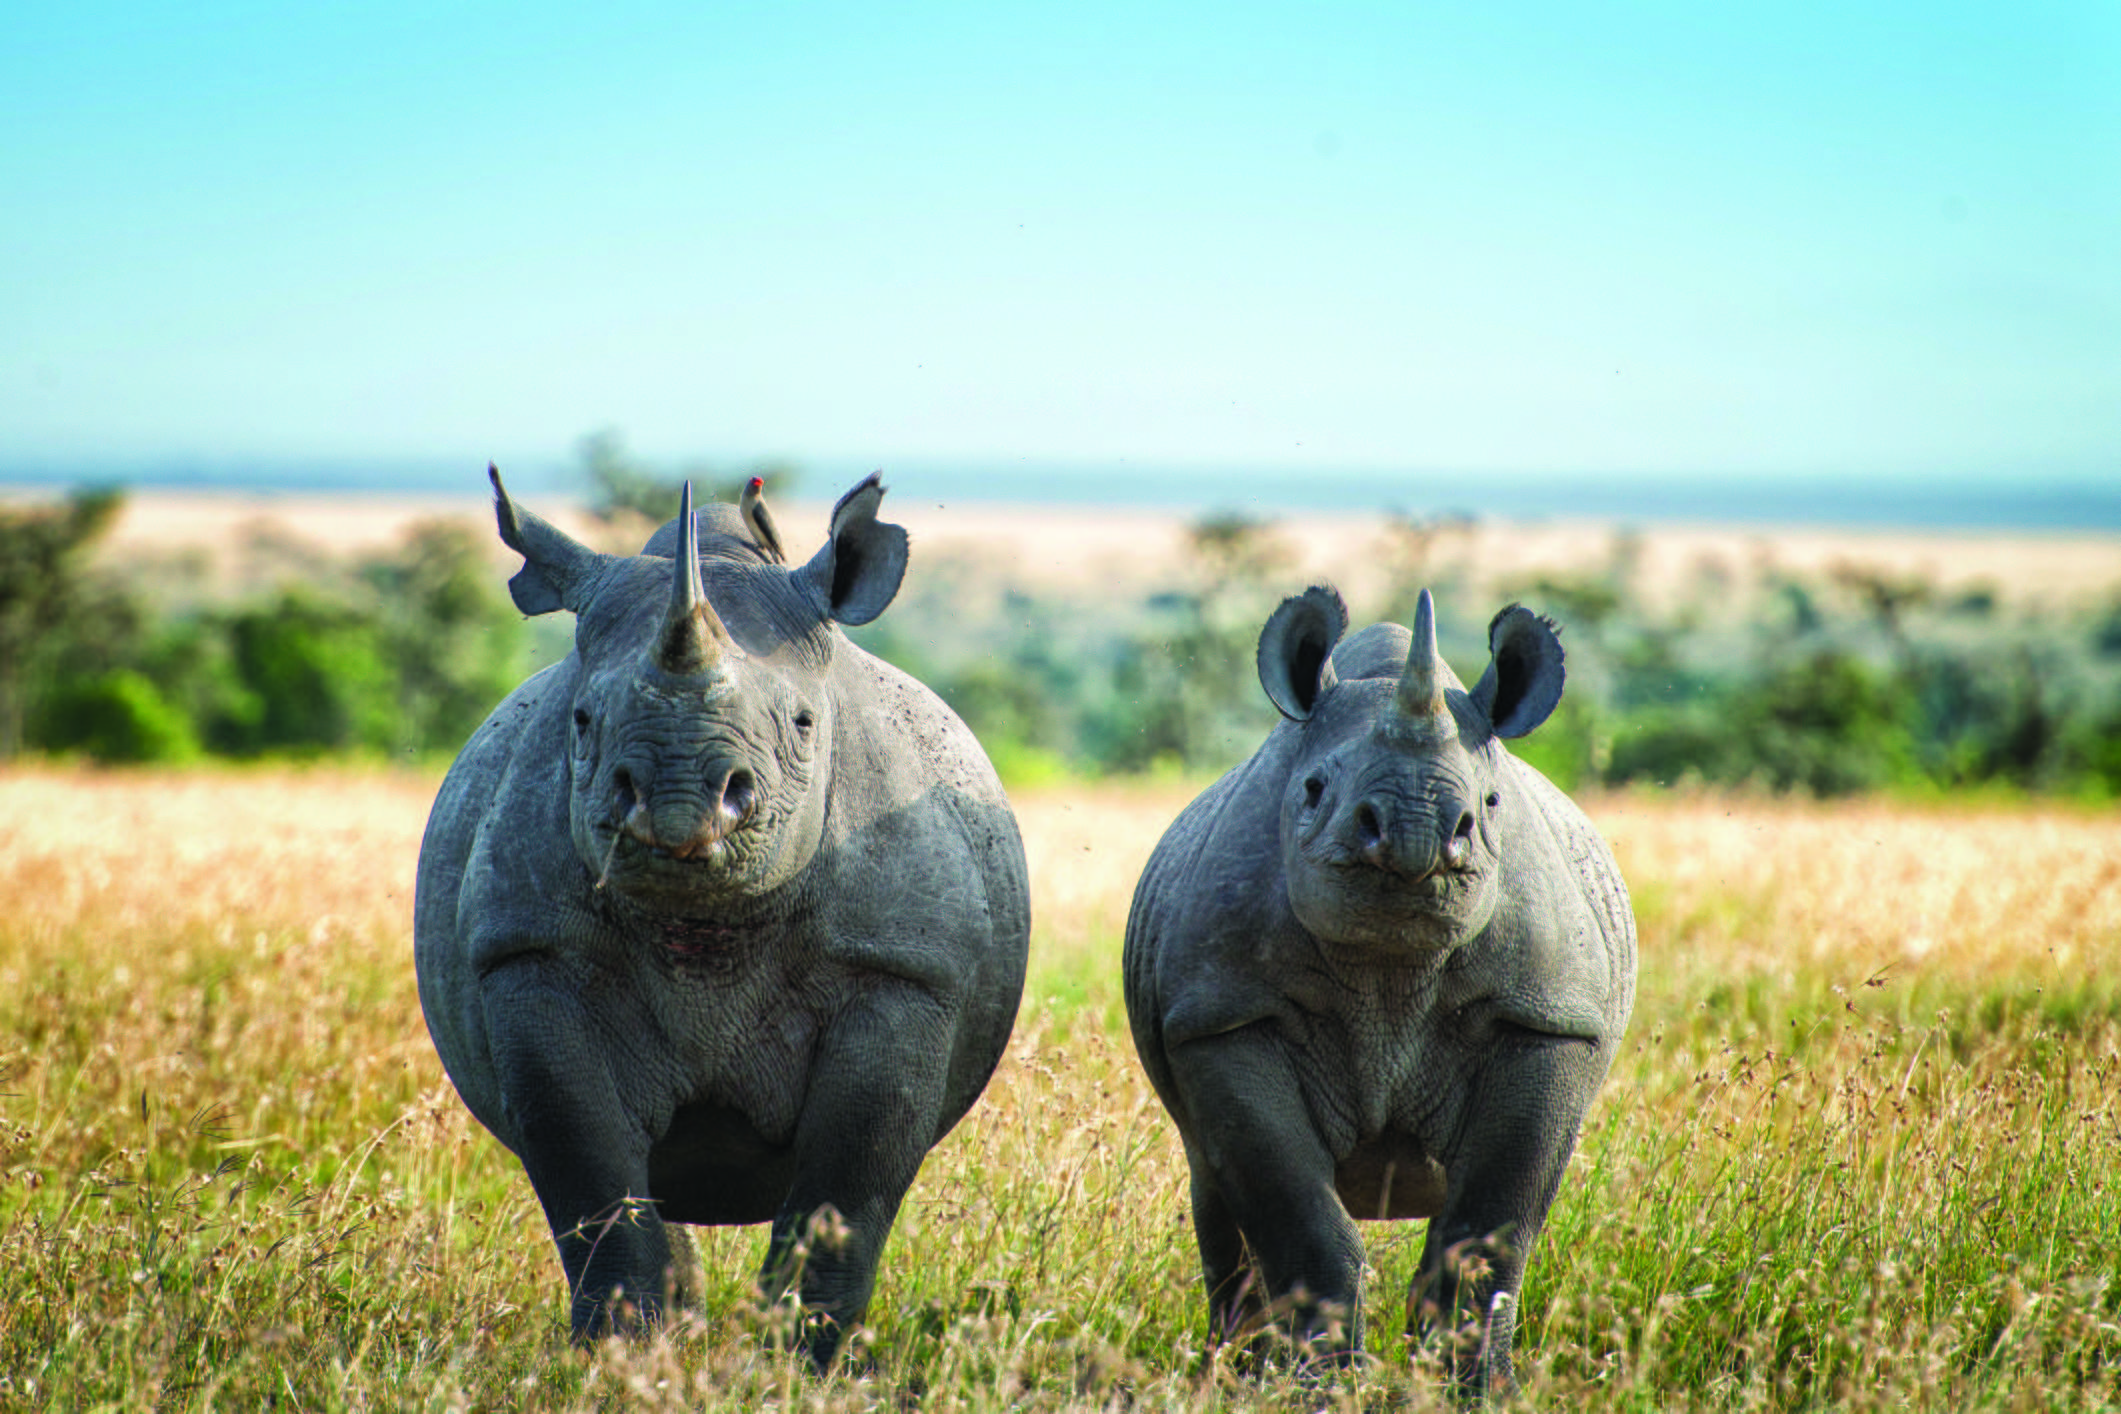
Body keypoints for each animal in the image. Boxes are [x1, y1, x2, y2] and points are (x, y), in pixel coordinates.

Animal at [411, 470, 1026, 1365]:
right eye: (581, 722)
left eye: (803, 724)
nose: (677, 805)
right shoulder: (530, 954)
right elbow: (587, 1168)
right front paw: (622, 1359)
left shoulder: (901, 967)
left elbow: (846, 1181)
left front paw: (805, 1364)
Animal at [1128, 585, 1637, 1390]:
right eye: (1312, 790)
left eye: (1492, 805)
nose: (1415, 830)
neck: (1393, 966)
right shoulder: (1224, 1017)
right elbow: (1299, 1219)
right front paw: (1323, 1388)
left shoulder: (1548, 1018)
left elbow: (1490, 1228)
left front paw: (1476, 1390)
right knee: (1211, 1182)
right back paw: (1234, 1374)